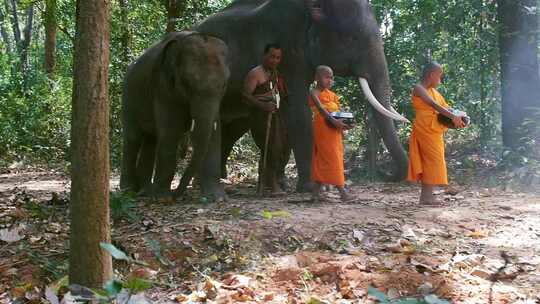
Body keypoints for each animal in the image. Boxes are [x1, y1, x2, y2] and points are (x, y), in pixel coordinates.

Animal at [120, 30, 230, 197]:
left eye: (224, 85)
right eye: (187, 83)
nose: (176, 194)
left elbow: (215, 134)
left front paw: (217, 198)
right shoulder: (162, 88)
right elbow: (171, 131)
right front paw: (162, 198)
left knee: (151, 140)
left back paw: (146, 191)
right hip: (128, 98)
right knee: (133, 138)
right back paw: (128, 190)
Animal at [194, 0, 410, 202]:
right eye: (352, 38)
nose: (386, 175)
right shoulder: (288, 47)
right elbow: (298, 110)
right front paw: (312, 187)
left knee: (233, 129)